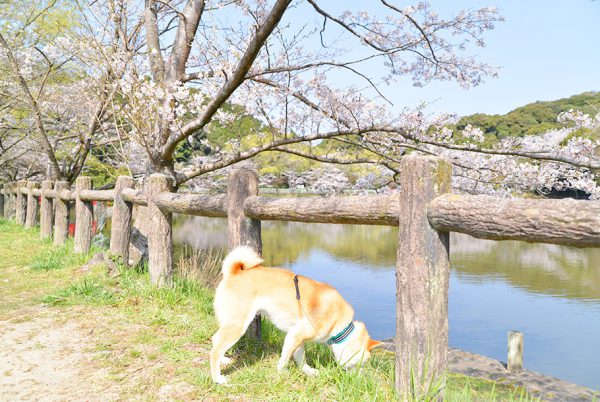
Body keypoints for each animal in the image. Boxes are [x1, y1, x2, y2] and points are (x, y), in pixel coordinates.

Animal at [209, 247, 382, 384]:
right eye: (359, 363)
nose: (359, 379)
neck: (340, 325)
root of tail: (234, 272)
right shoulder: (295, 335)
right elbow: (285, 358)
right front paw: (280, 372)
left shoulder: (297, 337)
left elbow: (301, 357)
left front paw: (308, 370)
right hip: (237, 325)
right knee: (215, 350)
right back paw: (217, 378)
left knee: (215, 339)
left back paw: (223, 359)